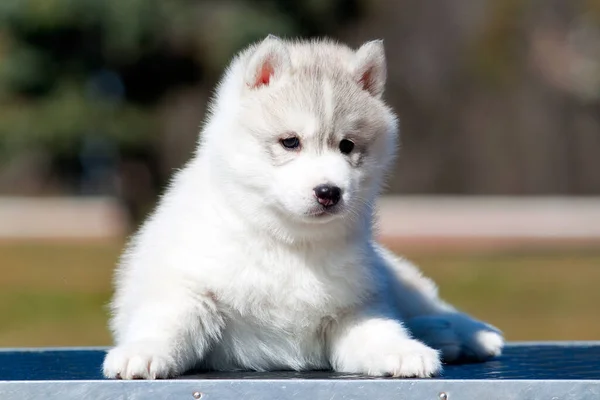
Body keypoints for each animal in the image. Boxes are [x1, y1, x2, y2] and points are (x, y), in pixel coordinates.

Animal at [102, 35, 502, 378]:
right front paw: (143, 351)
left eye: (346, 145)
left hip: (389, 275)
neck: (289, 242)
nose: (329, 192)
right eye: (290, 142)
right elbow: (166, 322)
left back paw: (463, 331)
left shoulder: (354, 307)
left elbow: (381, 330)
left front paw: (404, 350)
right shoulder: (188, 287)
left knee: (425, 302)